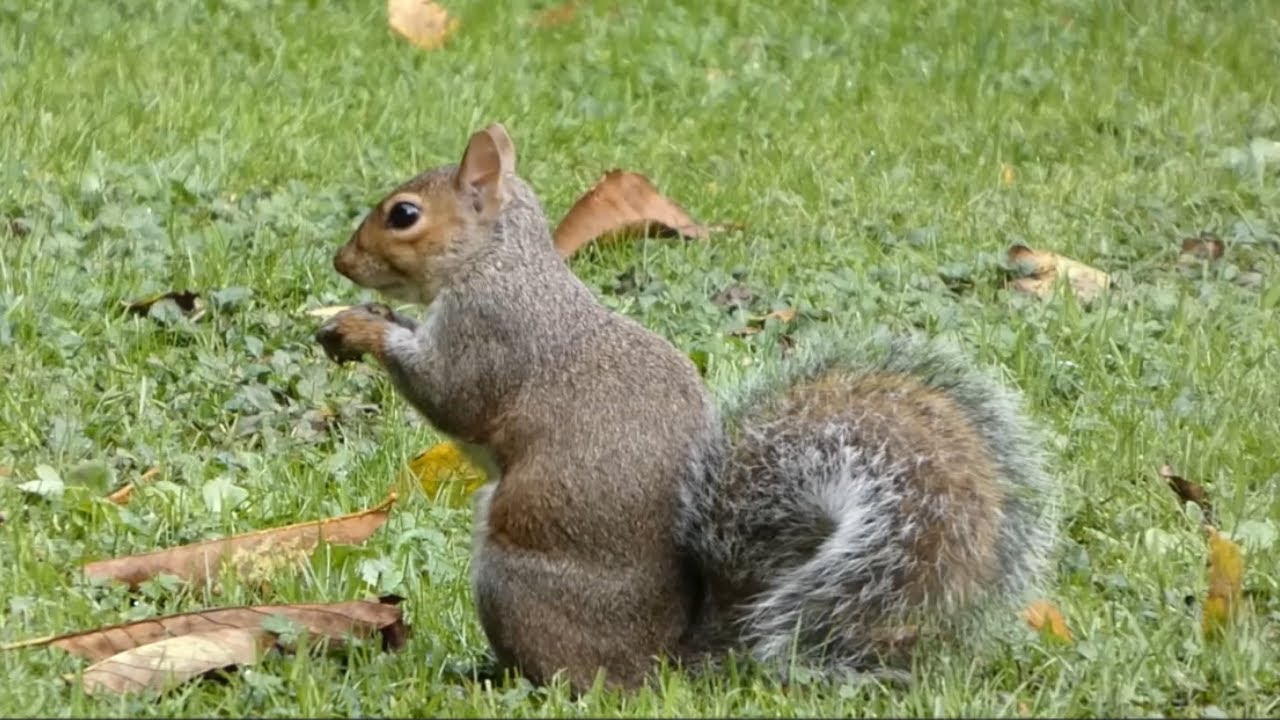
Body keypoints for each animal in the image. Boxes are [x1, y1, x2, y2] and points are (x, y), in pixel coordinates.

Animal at [315, 123, 1059, 693]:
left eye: (404, 214)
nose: (342, 261)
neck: (498, 262)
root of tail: (665, 659)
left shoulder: (489, 335)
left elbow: (452, 397)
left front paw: (365, 330)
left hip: (512, 578)